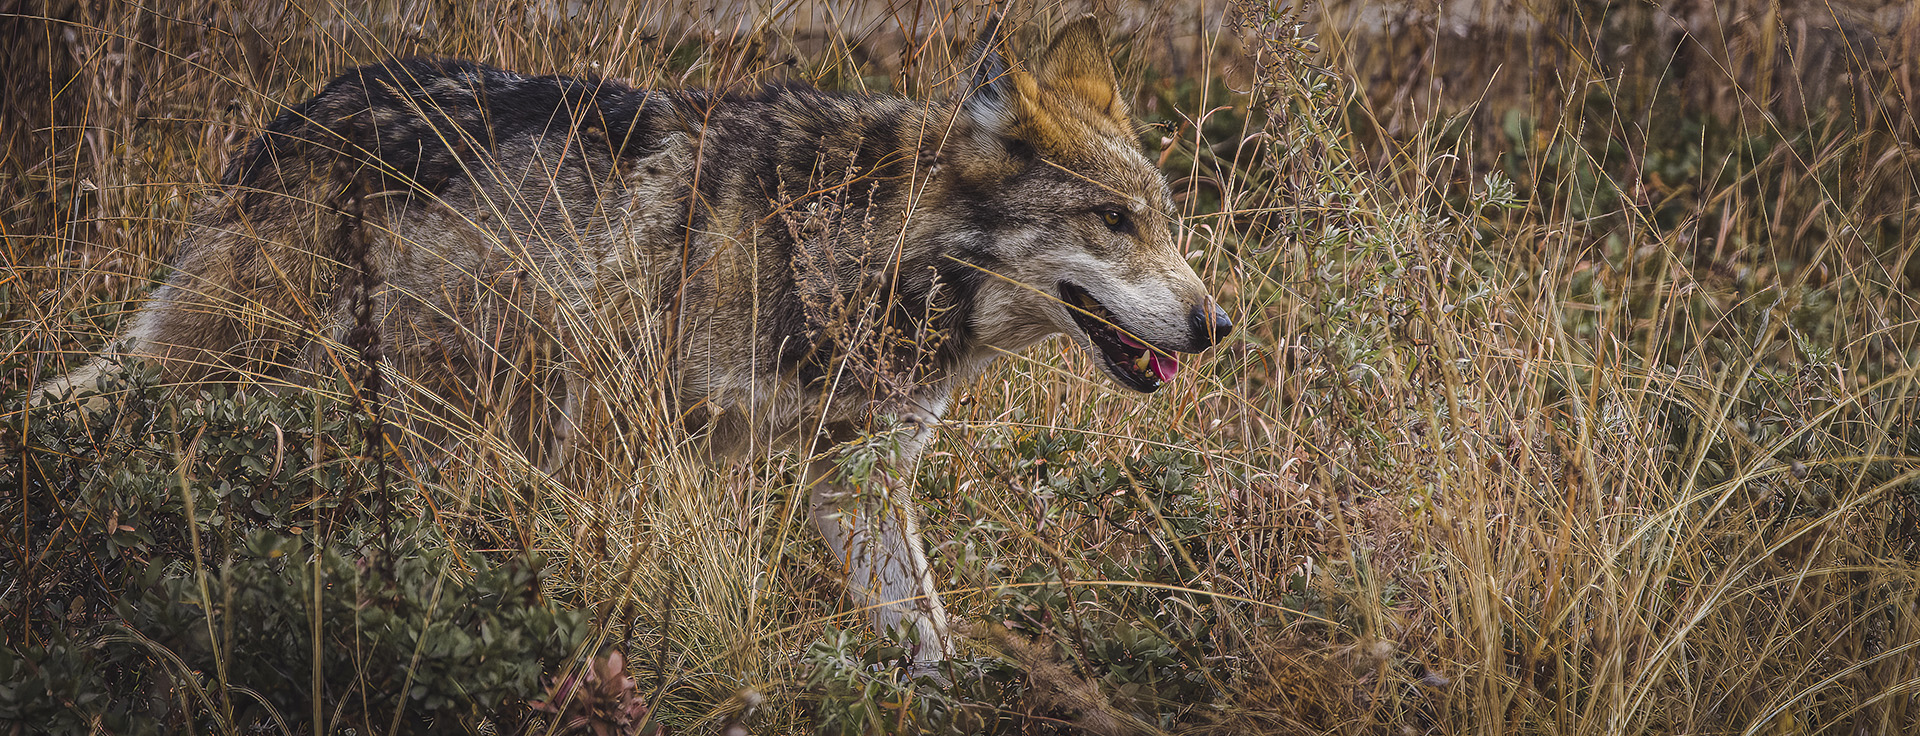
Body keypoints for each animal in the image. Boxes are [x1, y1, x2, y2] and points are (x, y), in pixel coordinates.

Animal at [41, 17, 1228, 664]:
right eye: (1111, 221)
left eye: (1166, 219)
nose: (1218, 325)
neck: (853, 255)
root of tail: (304, 105)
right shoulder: (621, 454)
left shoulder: (857, 480)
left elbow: (929, 635)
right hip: (225, 362)